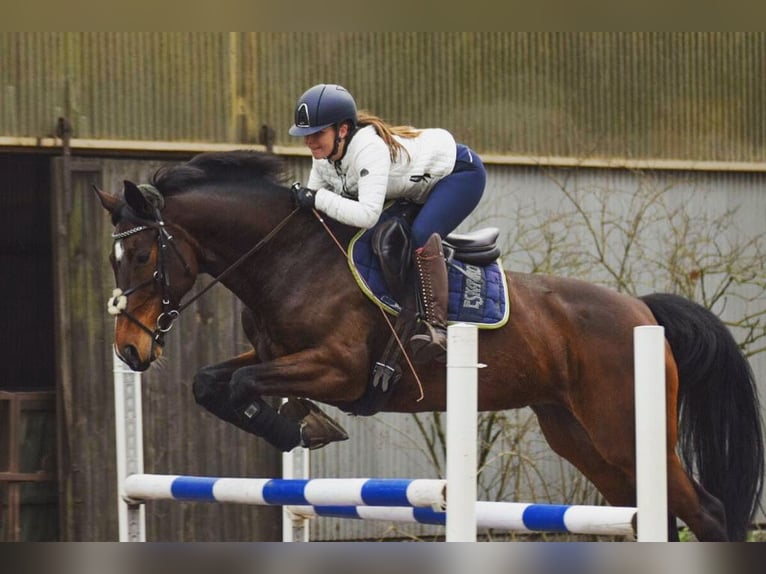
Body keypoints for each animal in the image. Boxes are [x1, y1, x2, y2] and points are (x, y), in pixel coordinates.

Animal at [93, 151, 764, 544]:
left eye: (144, 255)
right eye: (114, 257)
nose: (128, 349)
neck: (289, 259)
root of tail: (642, 309)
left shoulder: (339, 370)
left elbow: (237, 384)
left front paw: (298, 427)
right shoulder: (274, 355)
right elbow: (211, 382)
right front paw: (301, 426)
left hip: (623, 428)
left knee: (705, 512)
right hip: (578, 435)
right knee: (646, 511)